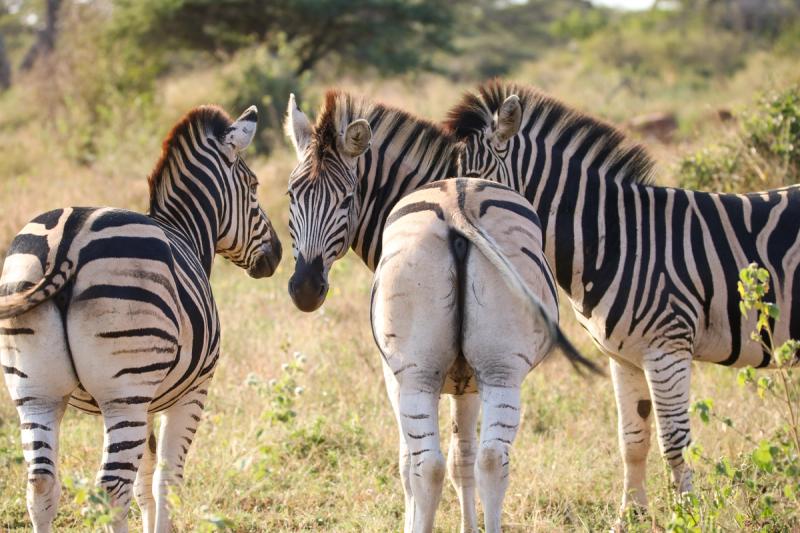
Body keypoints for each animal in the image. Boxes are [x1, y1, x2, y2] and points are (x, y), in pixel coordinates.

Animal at [0, 104, 282, 532]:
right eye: (253, 186)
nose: (278, 255)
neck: (187, 231)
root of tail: (69, 239)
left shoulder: (151, 398)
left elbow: (145, 482)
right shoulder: (191, 391)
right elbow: (167, 478)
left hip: (34, 391)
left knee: (42, 485)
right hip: (124, 392)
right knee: (111, 488)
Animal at [284, 91, 599, 532]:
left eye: (347, 200)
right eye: (291, 196)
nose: (306, 289)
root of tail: (457, 211)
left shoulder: (395, 375)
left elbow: (410, 464)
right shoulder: (468, 380)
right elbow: (463, 458)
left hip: (418, 372)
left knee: (425, 467)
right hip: (501, 368)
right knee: (491, 460)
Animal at [443, 79, 800, 515]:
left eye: (475, 181)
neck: (614, 240)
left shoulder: (667, 350)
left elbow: (675, 443)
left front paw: (690, 515)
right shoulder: (624, 357)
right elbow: (632, 439)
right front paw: (631, 515)